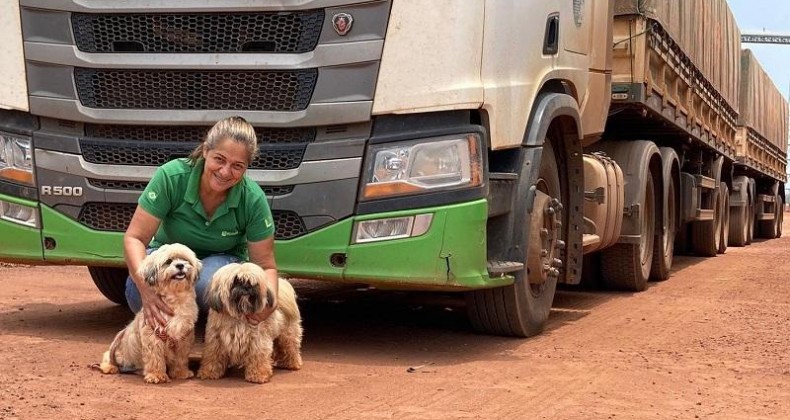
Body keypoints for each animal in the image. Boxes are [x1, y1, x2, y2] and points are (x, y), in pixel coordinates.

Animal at [96, 243, 201, 384]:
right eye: (168, 262)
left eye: (185, 260)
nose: (180, 265)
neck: (175, 299)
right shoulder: (153, 335)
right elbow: (155, 357)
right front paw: (156, 375)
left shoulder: (184, 337)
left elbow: (181, 358)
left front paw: (180, 372)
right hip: (116, 350)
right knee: (108, 355)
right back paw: (109, 367)